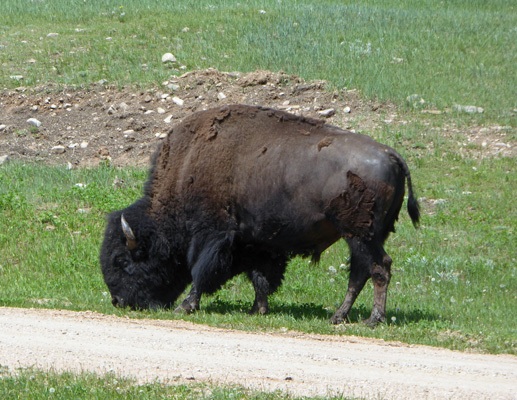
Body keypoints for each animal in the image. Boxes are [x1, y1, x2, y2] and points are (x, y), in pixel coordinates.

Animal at [99, 104, 418, 326]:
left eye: (123, 261)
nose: (119, 301)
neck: (186, 168)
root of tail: (391, 155)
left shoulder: (213, 236)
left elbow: (201, 270)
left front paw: (186, 306)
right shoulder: (257, 241)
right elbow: (260, 277)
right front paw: (258, 309)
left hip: (359, 233)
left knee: (379, 267)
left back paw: (372, 319)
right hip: (361, 236)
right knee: (360, 272)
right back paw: (338, 316)